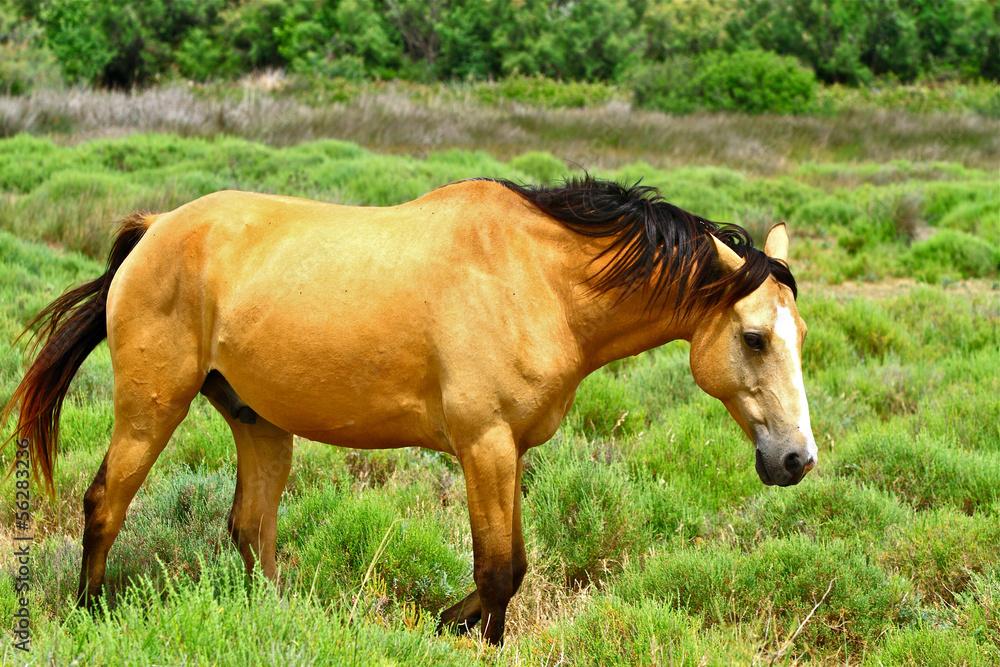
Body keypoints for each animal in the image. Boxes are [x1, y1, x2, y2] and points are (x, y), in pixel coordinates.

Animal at [2, 176, 816, 645]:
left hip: (258, 422)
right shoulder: (484, 443)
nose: (796, 459)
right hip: (152, 406)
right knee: (105, 502)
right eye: (753, 336)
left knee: (251, 529)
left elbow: (509, 568)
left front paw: (444, 620)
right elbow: (500, 571)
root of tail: (154, 229)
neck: (538, 279)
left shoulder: (510, 451)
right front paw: (461, 631)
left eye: (800, 334)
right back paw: (88, 613)